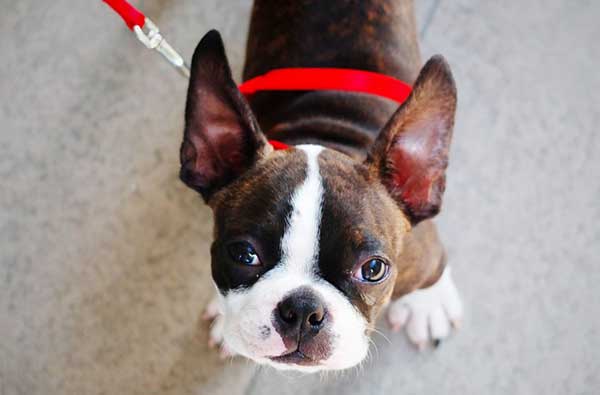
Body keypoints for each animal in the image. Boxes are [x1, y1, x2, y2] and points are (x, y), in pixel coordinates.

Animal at [180, 0, 462, 372]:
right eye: (243, 254)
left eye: (373, 269)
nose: (302, 309)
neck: (328, 133)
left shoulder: (422, 253)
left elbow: (434, 268)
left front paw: (428, 304)